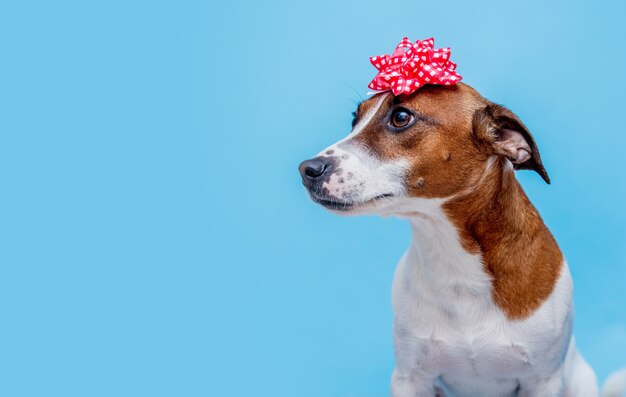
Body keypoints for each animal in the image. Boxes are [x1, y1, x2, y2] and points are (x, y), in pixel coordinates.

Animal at [298, 82, 624, 394]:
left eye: (401, 117)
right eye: (355, 119)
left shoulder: (543, 381)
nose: (307, 169)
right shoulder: (410, 379)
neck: (452, 254)